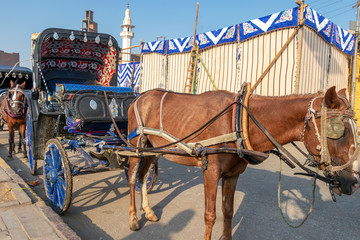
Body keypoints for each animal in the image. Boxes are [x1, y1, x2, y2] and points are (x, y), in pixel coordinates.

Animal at [125, 86, 358, 238]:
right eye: (339, 131)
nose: (353, 183)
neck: (238, 121)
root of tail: (139, 97)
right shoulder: (210, 171)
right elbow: (210, 215)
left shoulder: (233, 174)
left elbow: (228, 212)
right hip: (136, 146)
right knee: (132, 177)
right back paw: (134, 218)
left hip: (153, 149)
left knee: (144, 175)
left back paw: (148, 211)